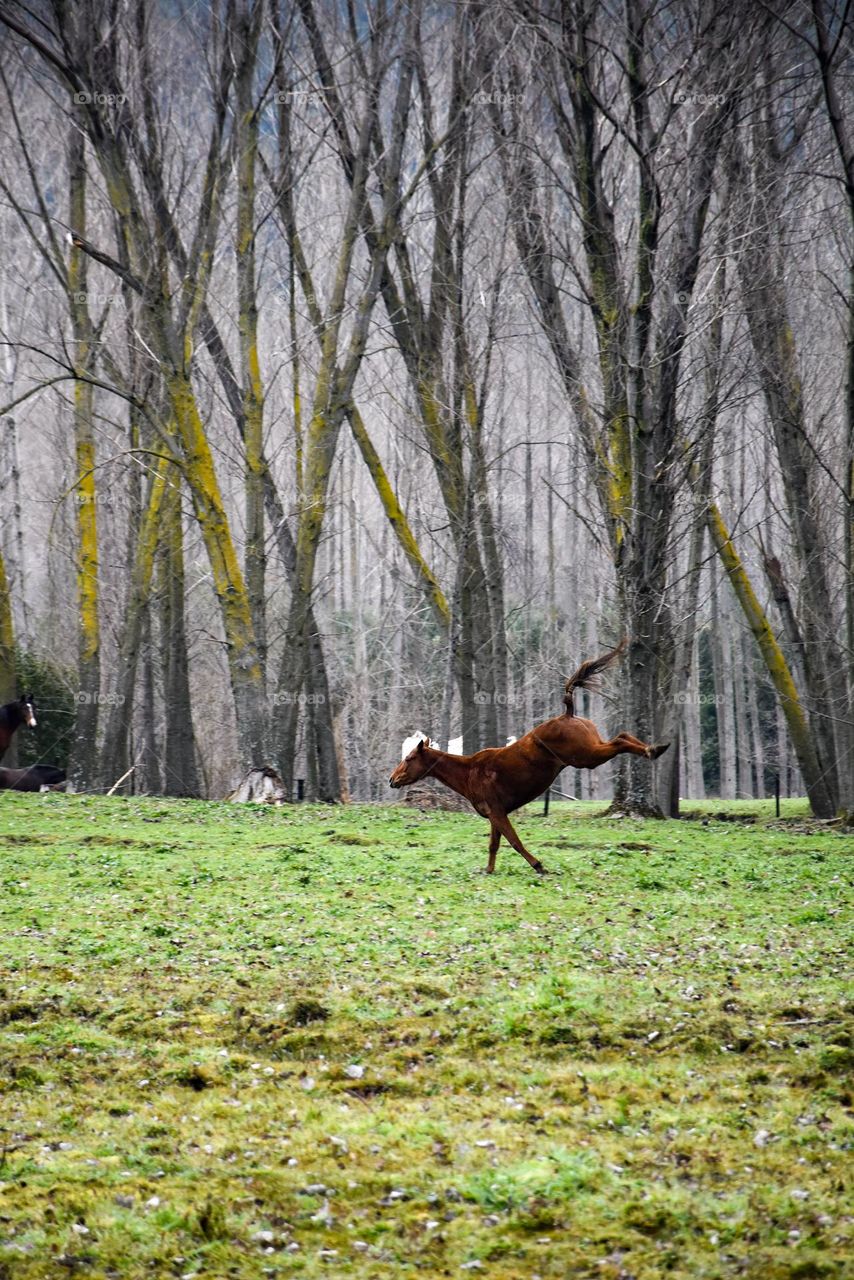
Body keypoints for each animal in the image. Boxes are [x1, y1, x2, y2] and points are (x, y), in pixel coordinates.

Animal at [389, 641, 669, 875]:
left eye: (409, 758)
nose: (392, 779)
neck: (469, 773)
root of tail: (568, 712)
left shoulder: (497, 811)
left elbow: (514, 840)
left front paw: (538, 865)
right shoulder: (494, 813)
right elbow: (494, 844)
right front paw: (489, 870)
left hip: (586, 756)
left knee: (620, 740)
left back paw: (653, 750)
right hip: (592, 746)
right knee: (622, 735)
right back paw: (657, 747)